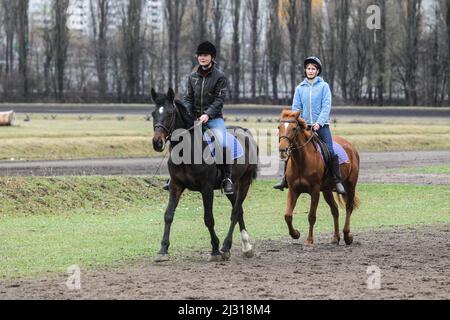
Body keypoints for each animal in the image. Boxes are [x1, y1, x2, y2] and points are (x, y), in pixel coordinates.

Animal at [276, 110, 360, 245]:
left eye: (294, 128)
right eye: (279, 127)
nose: (282, 149)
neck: (302, 161)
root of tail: (350, 147)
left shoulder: (315, 191)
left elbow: (311, 216)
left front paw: (309, 240)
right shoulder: (293, 190)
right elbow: (287, 215)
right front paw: (296, 234)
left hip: (350, 186)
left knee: (349, 207)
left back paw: (347, 235)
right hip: (327, 190)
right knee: (335, 210)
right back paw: (335, 238)